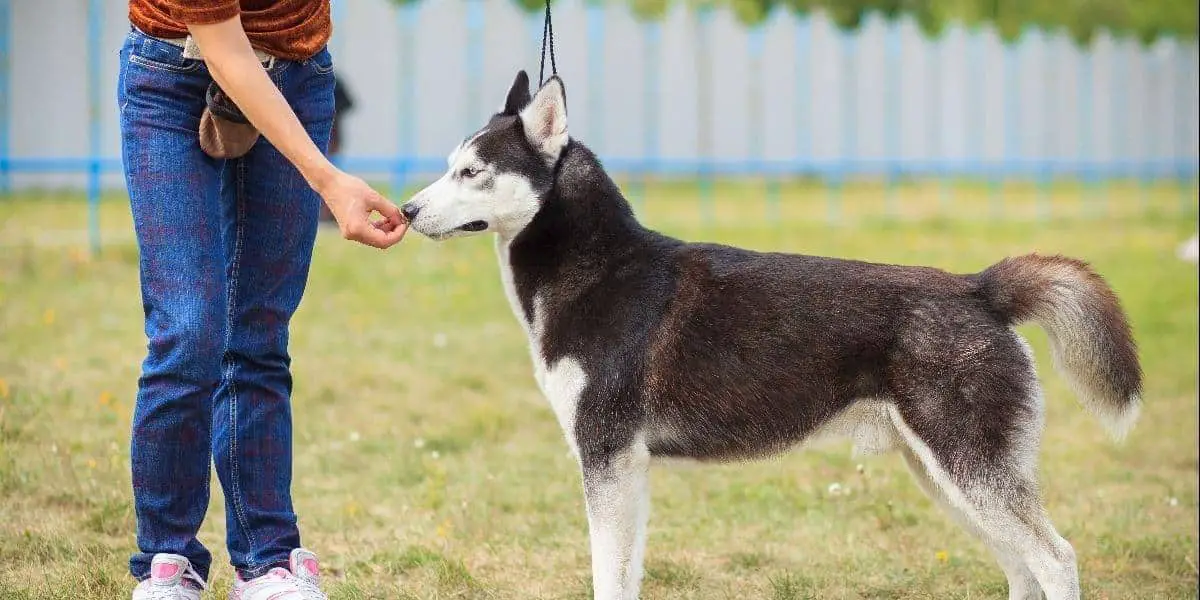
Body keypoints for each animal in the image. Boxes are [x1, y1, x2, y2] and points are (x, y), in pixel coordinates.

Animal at [403, 73, 1142, 600]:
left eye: (472, 172)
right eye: (449, 165)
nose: (406, 210)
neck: (599, 270)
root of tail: (976, 287)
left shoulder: (607, 458)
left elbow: (607, 575)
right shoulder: (626, 470)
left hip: (970, 471)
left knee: (1055, 559)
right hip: (946, 478)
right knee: (1022, 568)